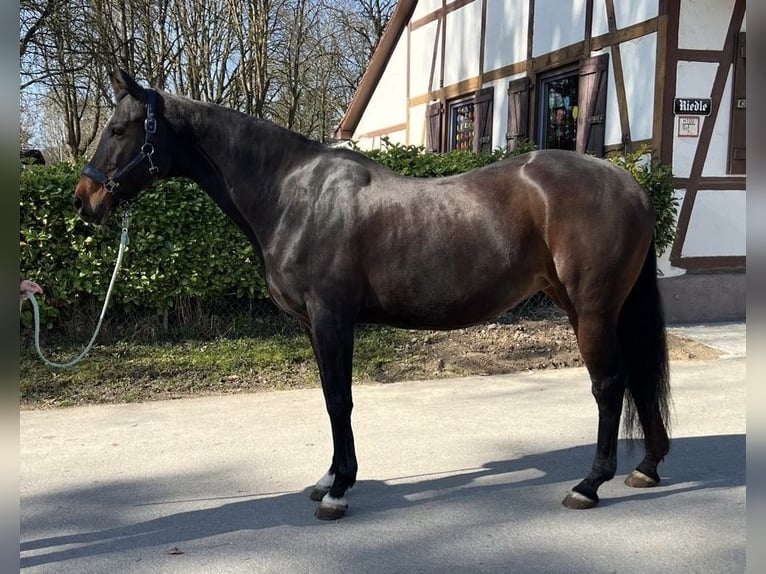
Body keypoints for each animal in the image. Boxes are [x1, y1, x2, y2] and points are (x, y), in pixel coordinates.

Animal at [74, 69, 671, 520]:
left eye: (120, 128)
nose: (84, 201)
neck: (293, 193)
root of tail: (631, 184)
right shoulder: (315, 326)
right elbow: (329, 398)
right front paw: (329, 478)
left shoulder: (332, 318)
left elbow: (341, 400)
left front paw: (339, 492)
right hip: (593, 308)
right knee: (636, 376)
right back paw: (647, 466)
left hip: (591, 309)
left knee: (609, 384)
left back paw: (589, 485)